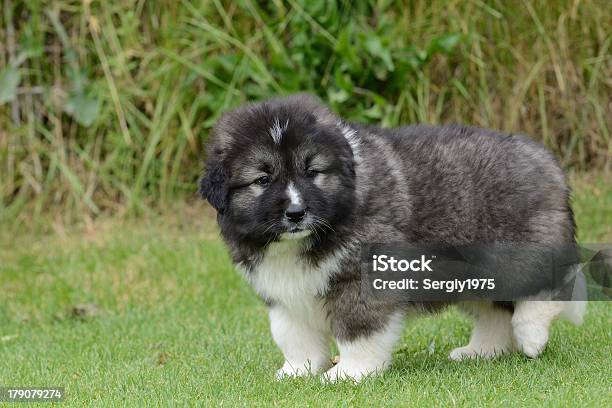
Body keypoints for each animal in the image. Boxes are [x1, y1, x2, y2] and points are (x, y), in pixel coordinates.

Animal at [198, 94, 584, 380]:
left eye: (312, 172)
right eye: (262, 179)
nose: (296, 213)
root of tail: (546, 158)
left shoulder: (365, 274)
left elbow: (358, 328)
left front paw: (350, 373)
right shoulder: (282, 289)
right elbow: (293, 335)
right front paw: (298, 371)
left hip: (514, 250)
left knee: (546, 284)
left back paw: (531, 334)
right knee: (494, 311)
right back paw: (482, 351)